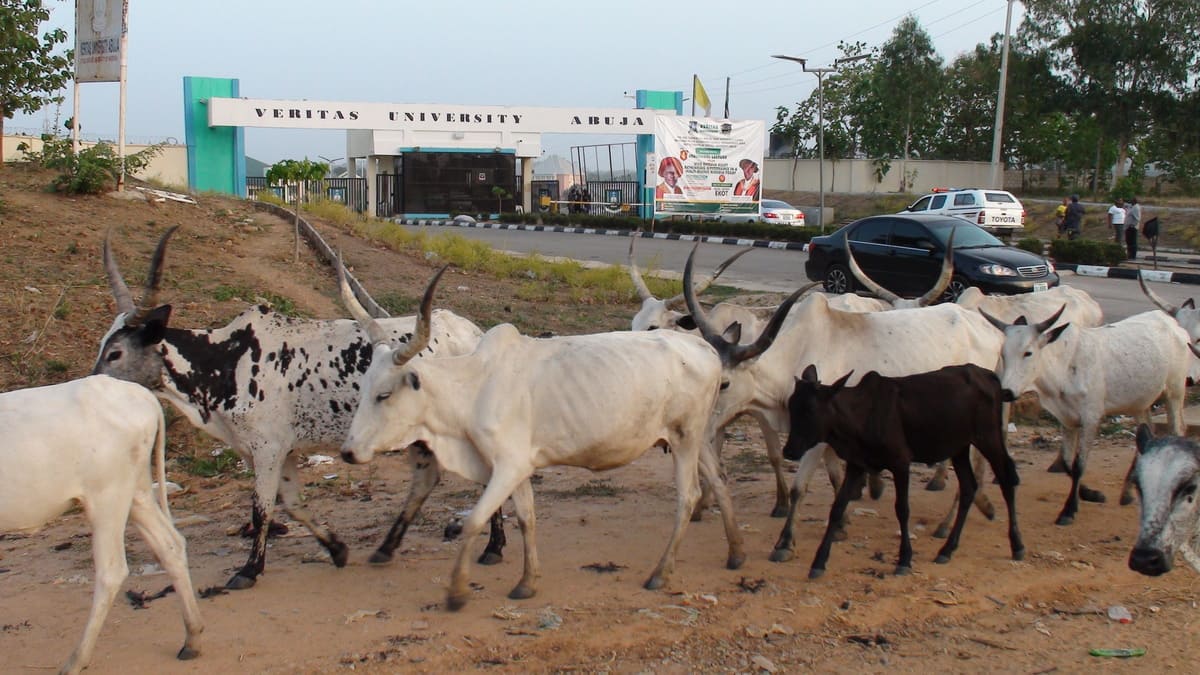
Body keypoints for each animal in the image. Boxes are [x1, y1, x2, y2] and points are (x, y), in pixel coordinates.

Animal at [0, 374, 201, 667]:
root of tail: (138, 393)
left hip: (107, 498)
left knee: (111, 571)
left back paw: (76, 660)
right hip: (136, 493)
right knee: (170, 546)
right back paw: (192, 636)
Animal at [91, 227, 504, 588]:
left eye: (116, 353)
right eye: (102, 346)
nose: (92, 386)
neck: (227, 360)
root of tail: (473, 333)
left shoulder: (267, 449)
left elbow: (261, 508)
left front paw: (249, 570)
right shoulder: (277, 450)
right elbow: (290, 504)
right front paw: (336, 548)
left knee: (486, 472)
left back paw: (493, 547)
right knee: (426, 479)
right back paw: (388, 547)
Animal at [979, 306, 1195, 526]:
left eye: (1028, 353)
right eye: (1003, 354)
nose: (1005, 392)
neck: (1063, 368)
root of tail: (1174, 324)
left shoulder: (1091, 418)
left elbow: (1079, 465)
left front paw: (1068, 510)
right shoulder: (1066, 420)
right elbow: (1067, 462)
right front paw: (1090, 494)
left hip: (1174, 392)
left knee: (1178, 429)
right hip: (1139, 403)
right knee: (1146, 435)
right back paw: (1127, 493)